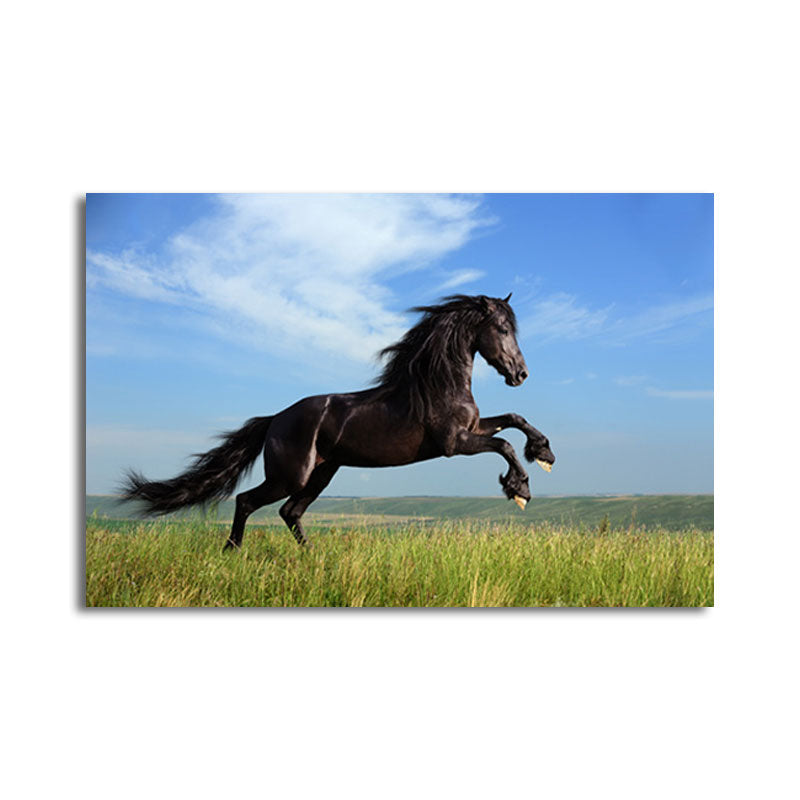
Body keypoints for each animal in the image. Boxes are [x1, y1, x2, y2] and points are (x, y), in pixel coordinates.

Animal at [121, 293, 556, 549]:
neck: (438, 384)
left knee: (290, 513)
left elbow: (513, 419)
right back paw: (232, 551)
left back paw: (310, 557)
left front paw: (544, 453)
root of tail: (274, 419)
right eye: (502, 328)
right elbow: (503, 444)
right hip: (291, 475)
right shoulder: (454, 444)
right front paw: (519, 489)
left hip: (322, 473)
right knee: (248, 501)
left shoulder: (471, 429)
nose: (520, 374)